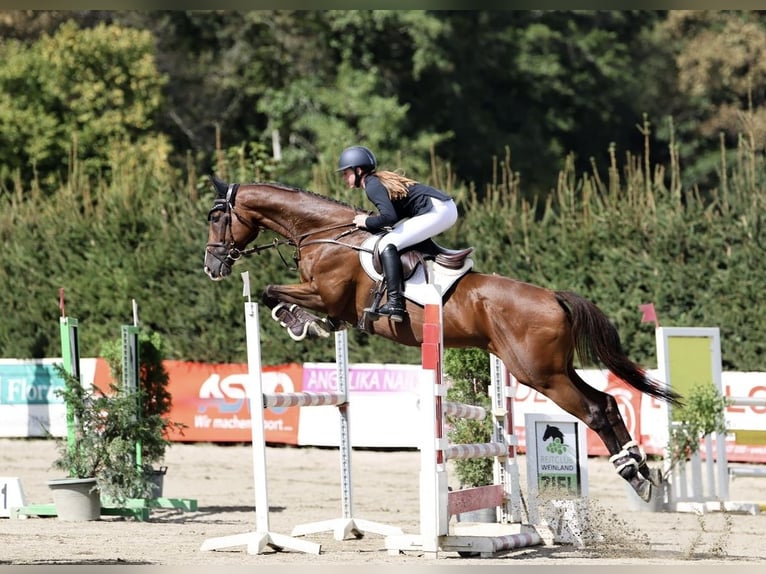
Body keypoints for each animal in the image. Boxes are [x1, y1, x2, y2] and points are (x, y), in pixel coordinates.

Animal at [204, 177, 684, 504]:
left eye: (217, 218)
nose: (212, 266)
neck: (325, 234)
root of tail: (554, 298)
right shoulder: (332, 302)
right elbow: (286, 298)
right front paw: (312, 325)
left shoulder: (325, 293)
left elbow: (273, 292)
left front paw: (298, 322)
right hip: (553, 369)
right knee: (607, 401)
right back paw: (641, 470)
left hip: (541, 374)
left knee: (594, 409)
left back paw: (636, 478)